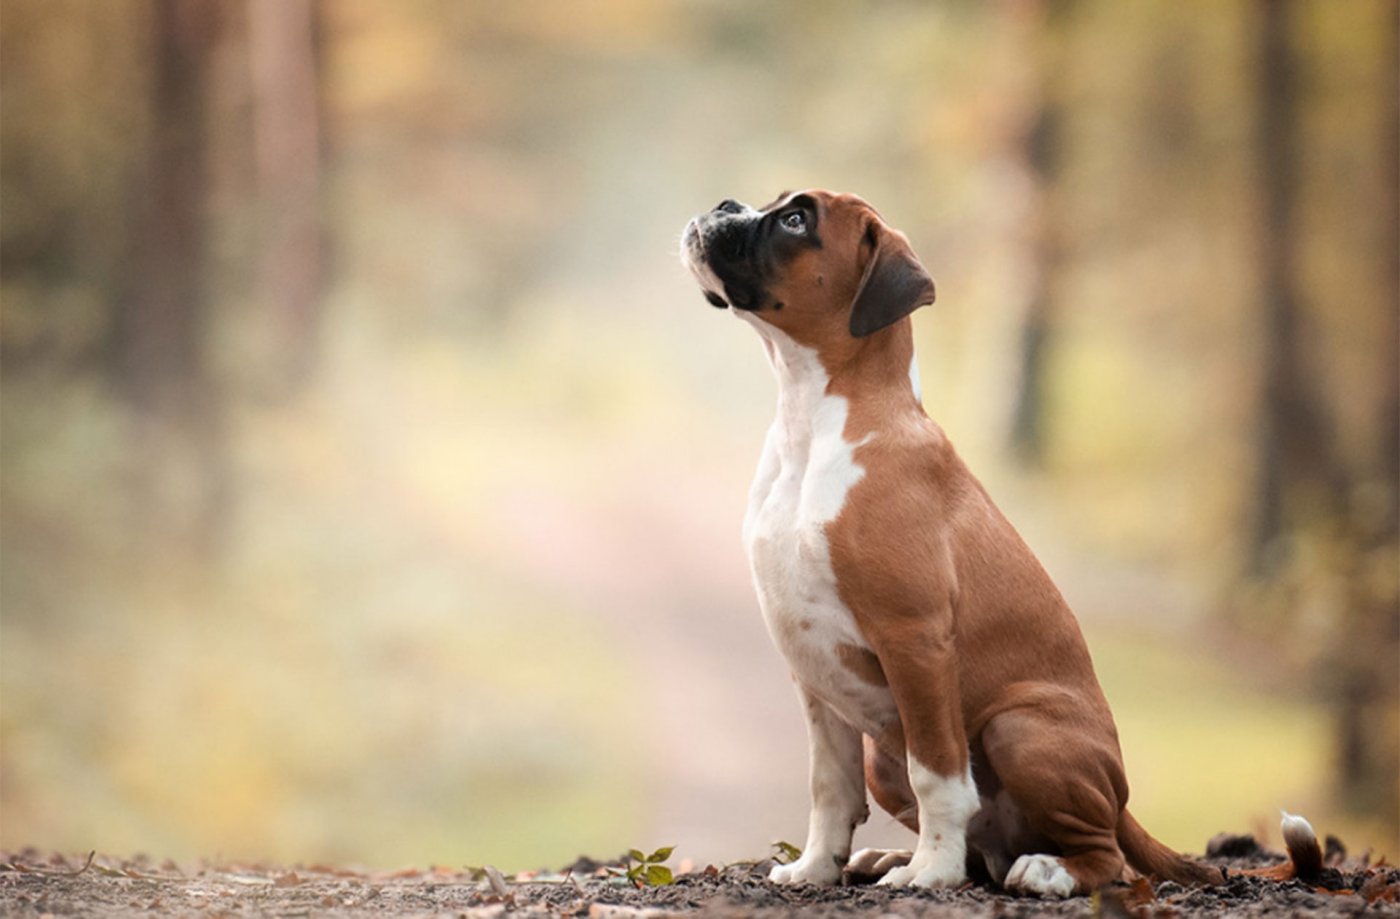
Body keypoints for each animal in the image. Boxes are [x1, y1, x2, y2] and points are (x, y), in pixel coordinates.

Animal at [674, 189, 1310, 896]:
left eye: (795, 220)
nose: (723, 204)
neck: (811, 425)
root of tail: (1122, 803)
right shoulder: (812, 668)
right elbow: (828, 787)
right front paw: (816, 868)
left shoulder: (915, 642)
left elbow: (939, 775)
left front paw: (932, 873)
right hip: (881, 758)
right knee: (986, 850)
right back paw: (892, 858)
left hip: (1017, 725)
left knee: (1104, 858)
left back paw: (1043, 871)